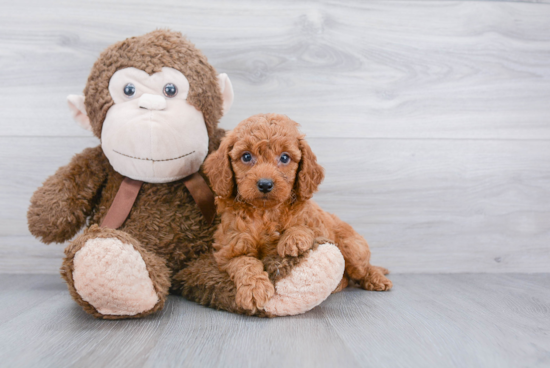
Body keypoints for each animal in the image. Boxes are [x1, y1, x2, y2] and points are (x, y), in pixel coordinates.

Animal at [206, 113, 392, 312]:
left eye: (285, 158)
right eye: (246, 156)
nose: (265, 184)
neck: (265, 212)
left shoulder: (317, 225)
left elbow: (302, 226)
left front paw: (293, 239)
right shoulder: (229, 249)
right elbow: (244, 263)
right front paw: (254, 289)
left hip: (352, 248)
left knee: (362, 268)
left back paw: (377, 279)